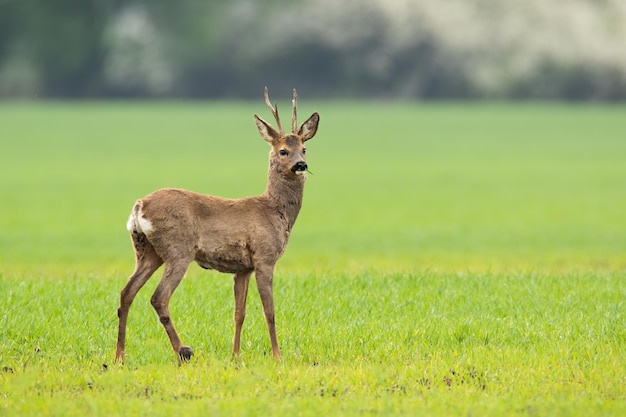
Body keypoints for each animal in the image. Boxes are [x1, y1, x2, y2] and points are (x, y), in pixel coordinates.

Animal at [114, 88, 320, 364]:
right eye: (283, 151)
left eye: (304, 149)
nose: (301, 165)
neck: (275, 211)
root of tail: (139, 206)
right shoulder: (264, 257)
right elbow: (270, 310)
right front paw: (278, 356)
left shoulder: (243, 268)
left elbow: (239, 313)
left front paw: (235, 355)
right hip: (178, 249)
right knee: (159, 297)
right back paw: (183, 351)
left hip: (147, 251)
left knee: (127, 293)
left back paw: (119, 356)